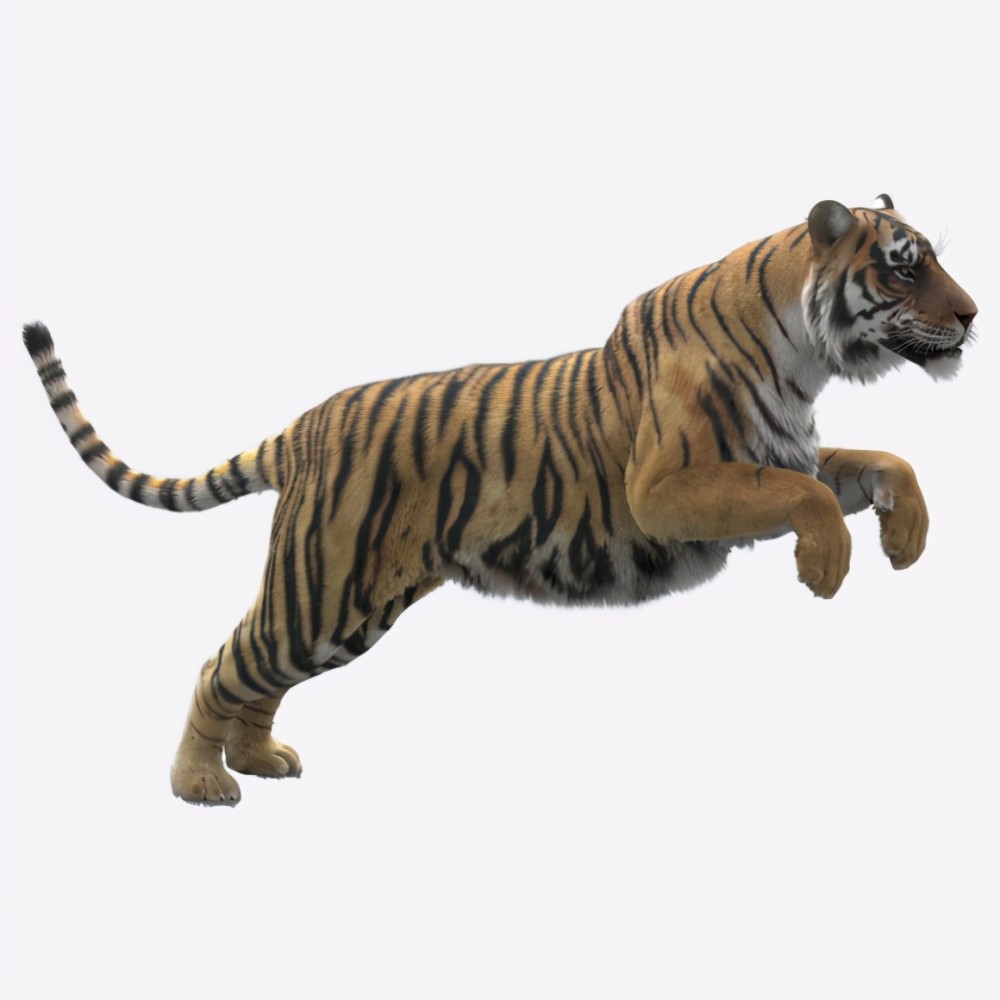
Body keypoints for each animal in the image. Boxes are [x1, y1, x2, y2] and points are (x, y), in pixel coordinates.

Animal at [24, 195, 977, 806]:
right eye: (904, 269)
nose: (972, 316)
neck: (805, 356)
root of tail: (304, 426)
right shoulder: (669, 487)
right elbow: (805, 497)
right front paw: (827, 567)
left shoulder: (787, 453)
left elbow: (885, 462)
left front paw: (905, 539)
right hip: (323, 587)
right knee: (223, 663)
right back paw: (201, 783)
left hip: (341, 609)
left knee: (259, 675)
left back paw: (259, 761)